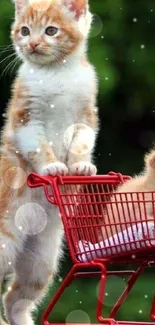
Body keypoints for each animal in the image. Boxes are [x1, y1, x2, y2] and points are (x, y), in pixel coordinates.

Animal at [0, 0, 98, 324]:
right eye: (24, 30)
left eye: (51, 31)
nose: (31, 43)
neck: (58, 73)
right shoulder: (26, 118)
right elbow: (39, 146)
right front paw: (52, 167)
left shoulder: (86, 116)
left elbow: (81, 141)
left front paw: (81, 166)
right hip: (3, 240)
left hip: (41, 259)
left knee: (13, 298)